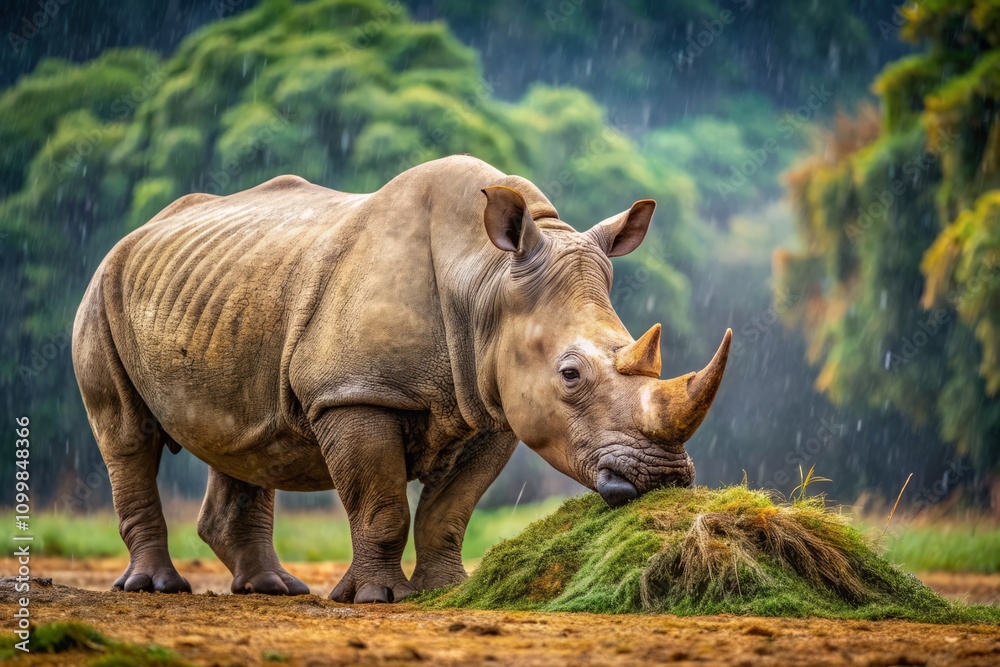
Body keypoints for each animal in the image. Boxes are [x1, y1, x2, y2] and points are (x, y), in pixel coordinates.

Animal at [73, 155, 730, 603]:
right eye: (569, 374)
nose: (664, 478)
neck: (487, 280)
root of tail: (137, 233)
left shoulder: (493, 410)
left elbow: (449, 511)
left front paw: (446, 591)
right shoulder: (355, 394)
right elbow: (382, 503)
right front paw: (377, 598)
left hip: (225, 292)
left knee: (244, 439)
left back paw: (273, 588)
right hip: (104, 288)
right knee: (126, 434)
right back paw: (155, 587)